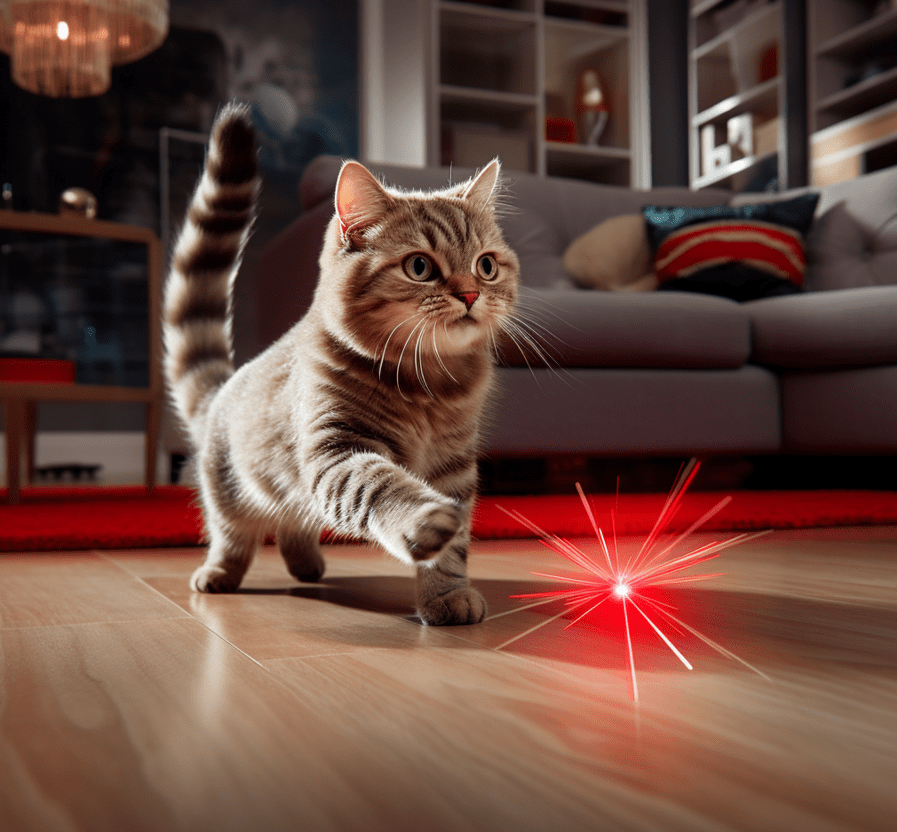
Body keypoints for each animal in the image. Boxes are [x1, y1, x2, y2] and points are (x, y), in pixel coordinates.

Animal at [164, 102, 520, 624]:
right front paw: (424, 521)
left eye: (487, 266)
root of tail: (225, 388)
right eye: (420, 267)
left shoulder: (454, 464)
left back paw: (306, 564)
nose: (471, 294)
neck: (428, 383)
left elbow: (453, 549)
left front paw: (446, 593)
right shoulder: (337, 451)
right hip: (227, 484)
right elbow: (383, 488)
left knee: (292, 522)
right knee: (233, 533)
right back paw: (219, 573)